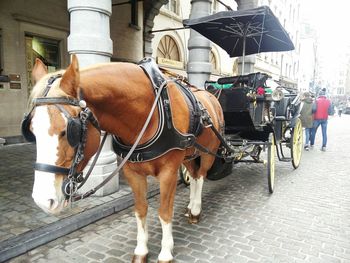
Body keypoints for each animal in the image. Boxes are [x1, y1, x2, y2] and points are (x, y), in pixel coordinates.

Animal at [24, 55, 224, 262]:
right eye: (31, 130)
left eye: (67, 131)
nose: (42, 200)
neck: (152, 110)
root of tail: (211, 97)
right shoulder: (133, 173)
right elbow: (141, 210)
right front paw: (141, 251)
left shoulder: (169, 172)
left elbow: (164, 212)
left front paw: (165, 252)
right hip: (189, 154)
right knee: (193, 176)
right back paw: (191, 207)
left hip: (208, 152)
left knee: (201, 177)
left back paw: (196, 210)